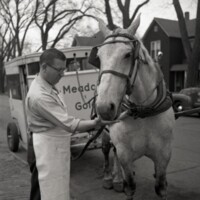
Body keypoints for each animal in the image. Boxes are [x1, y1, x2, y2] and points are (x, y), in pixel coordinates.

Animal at [92, 14, 175, 199]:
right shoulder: (125, 155)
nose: (104, 108)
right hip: (106, 134)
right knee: (107, 150)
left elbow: (161, 186)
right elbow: (129, 187)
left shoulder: (164, 155)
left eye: (128, 54)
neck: (143, 111)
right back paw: (110, 178)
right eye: (99, 57)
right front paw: (120, 181)